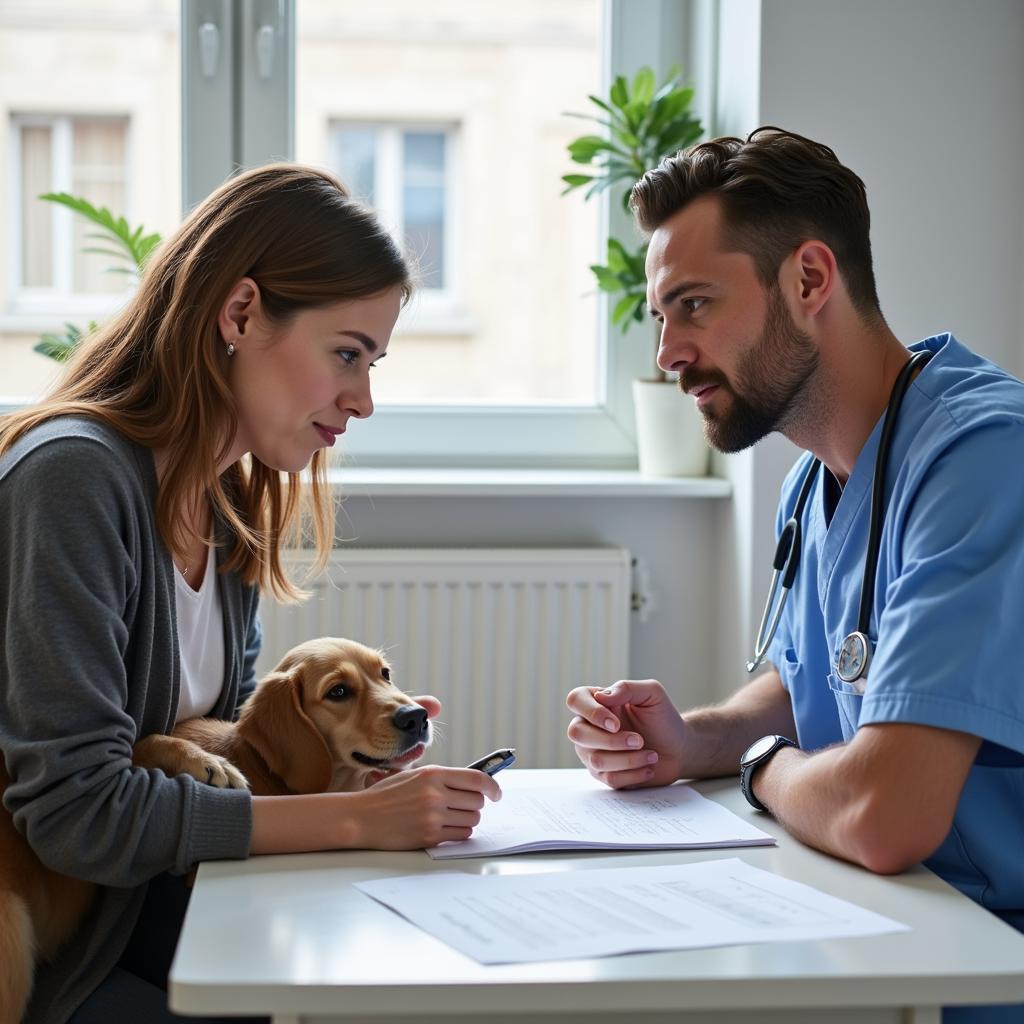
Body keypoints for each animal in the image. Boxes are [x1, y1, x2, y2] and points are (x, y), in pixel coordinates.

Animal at [0, 638, 425, 1024]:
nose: (416, 716)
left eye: (384, 674)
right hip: (14, 940)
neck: (263, 770)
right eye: (338, 692)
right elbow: (151, 740)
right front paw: (206, 763)